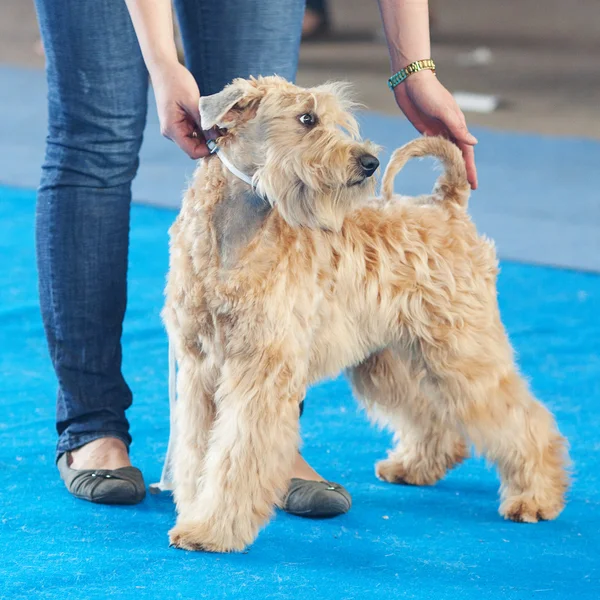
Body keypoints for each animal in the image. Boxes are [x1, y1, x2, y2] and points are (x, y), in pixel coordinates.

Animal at [162, 75, 568, 552]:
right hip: (391, 359)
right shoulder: (199, 368)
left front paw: (211, 528)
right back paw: (415, 466)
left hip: (461, 353)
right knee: (431, 412)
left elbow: (234, 455)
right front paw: (194, 511)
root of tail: (447, 206)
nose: (370, 162)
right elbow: (196, 450)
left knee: (523, 420)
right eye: (307, 118)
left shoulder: (259, 369)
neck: (233, 239)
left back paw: (536, 496)